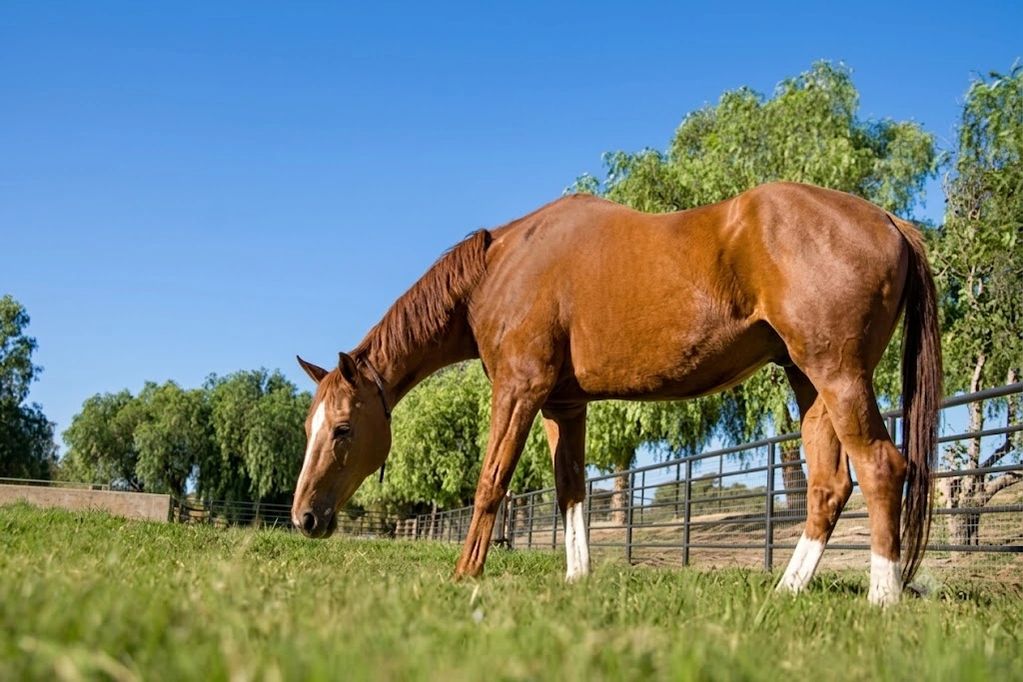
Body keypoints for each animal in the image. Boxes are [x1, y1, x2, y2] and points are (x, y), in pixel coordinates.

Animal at [291, 181, 941, 606]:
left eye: (343, 429)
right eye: (308, 428)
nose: (304, 518)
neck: (499, 267)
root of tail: (890, 222)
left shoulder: (518, 391)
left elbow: (490, 484)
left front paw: (464, 576)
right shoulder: (563, 405)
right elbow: (571, 491)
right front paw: (576, 579)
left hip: (838, 374)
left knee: (883, 468)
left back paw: (882, 600)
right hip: (809, 382)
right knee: (830, 487)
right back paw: (785, 592)